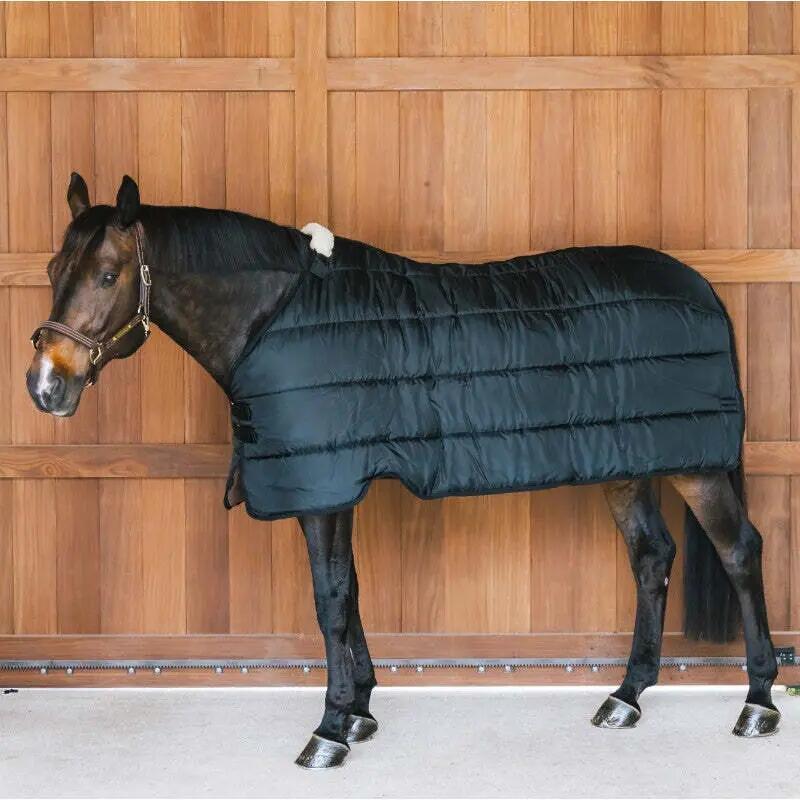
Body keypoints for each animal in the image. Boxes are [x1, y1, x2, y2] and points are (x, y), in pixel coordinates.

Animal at [26, 173, 781, 769]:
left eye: (107, 275)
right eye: (53, 269)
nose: (45, 385)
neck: (278, 317)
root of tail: (701, 287)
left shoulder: (324, 488)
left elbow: (330, 599)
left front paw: (330, 729)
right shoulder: (336, 484)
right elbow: (350, 590)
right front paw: (360, 710)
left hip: (696, 465)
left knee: (740, 552)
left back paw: (757, 704)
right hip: (629, 463)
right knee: (651, 557)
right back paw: (626, 697)